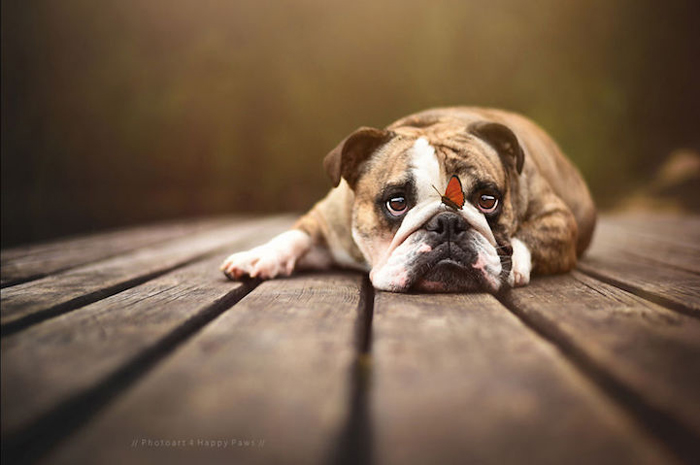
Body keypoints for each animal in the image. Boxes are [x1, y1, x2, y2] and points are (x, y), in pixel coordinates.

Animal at [220, 107, 596, 292]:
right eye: (396, 203)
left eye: (488, 200)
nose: (448, 222)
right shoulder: (327, 218)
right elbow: (294, 235)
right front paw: (259, 256)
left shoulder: (557, 217)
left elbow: (528, 236)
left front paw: (512, 264)